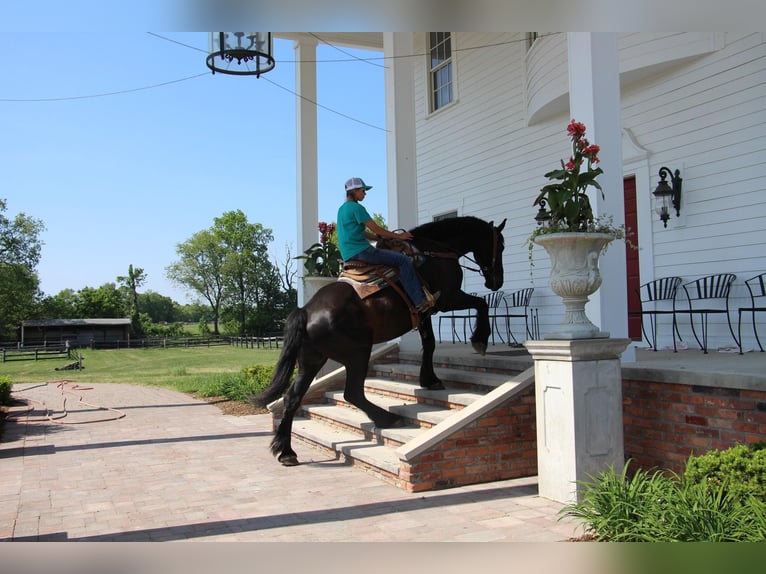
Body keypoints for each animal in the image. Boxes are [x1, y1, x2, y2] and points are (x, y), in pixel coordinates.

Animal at [252, 216, 508, 468]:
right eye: (501, 245)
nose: (496, 281)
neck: (436, 252)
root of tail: (305, 311)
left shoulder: (425, 312)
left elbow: (429, 343)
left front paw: (429, 379)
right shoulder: (447, 299)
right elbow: (481, 304)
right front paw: (479, 340)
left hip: (311, 361)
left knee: (292, 397)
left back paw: (286, 451)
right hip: (358, 353)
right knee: (352, 393)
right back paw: (388, 418)